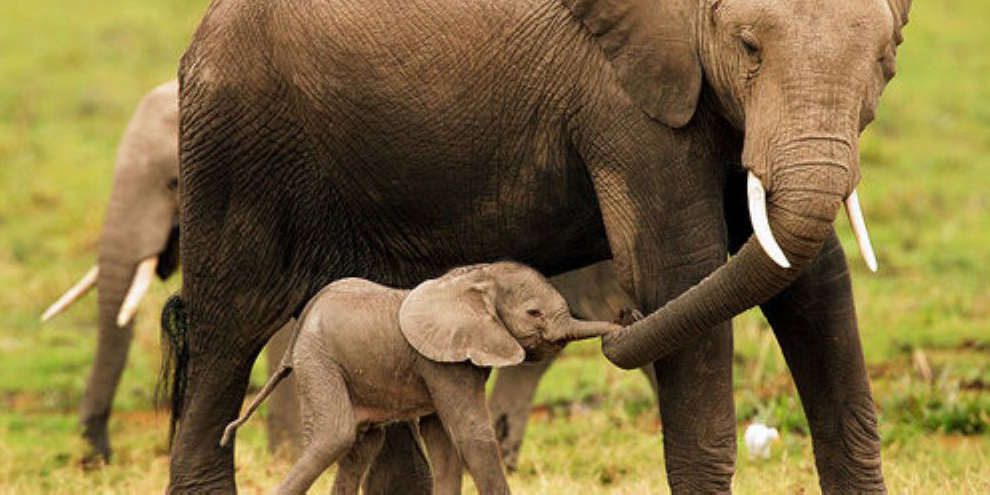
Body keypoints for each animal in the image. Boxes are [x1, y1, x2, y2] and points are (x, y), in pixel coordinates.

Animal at [217, 262, 621, 495]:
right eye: (534, 313)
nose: (625, 317)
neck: (475, 278)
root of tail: (303, 322)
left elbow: (441, 438)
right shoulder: (441, 362)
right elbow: (470, 433)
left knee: (363, 444)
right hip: (318, 360)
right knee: (335, 435)